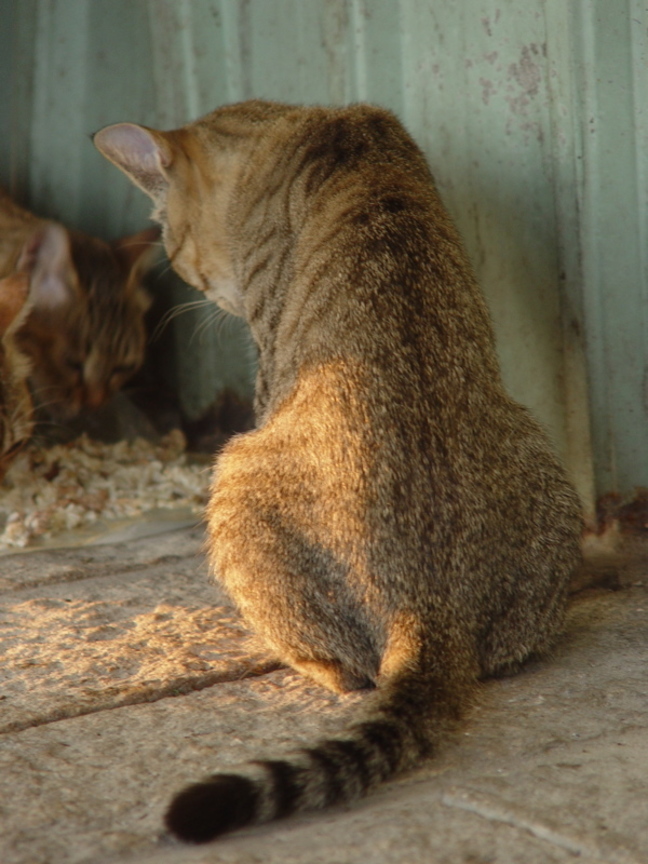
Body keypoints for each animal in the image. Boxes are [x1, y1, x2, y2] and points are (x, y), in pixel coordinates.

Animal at [92, 99, 584, 844]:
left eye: (171, 248)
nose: (187, 275)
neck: (299, 123)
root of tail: (426, 609)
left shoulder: (268, 363)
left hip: (235, 478)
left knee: (348, 670)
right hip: (545, 473)